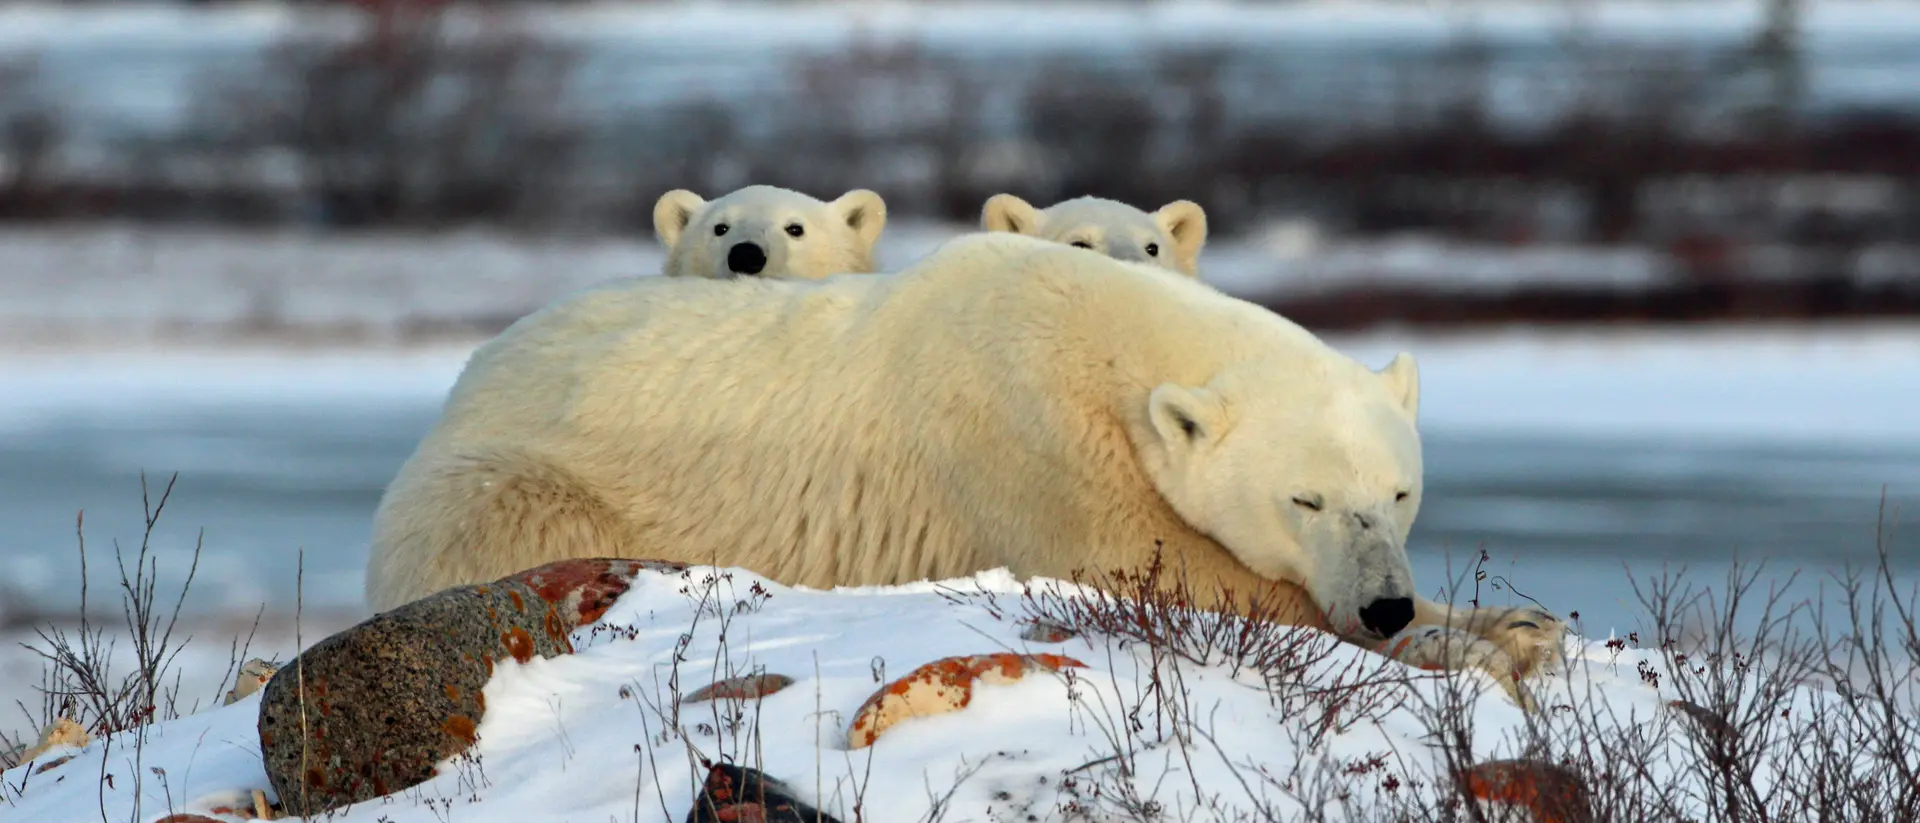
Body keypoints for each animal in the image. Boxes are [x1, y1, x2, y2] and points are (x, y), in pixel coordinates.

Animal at [364, 231, 1565, 697]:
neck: (1106, 345)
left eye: (1398, 492)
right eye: (1304, 496)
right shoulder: (1028, 441)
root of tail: (465, 375)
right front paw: (1478, 648)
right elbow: (1185, 577)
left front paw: (1520, 622)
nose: (1387, 603)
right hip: (509, 478)